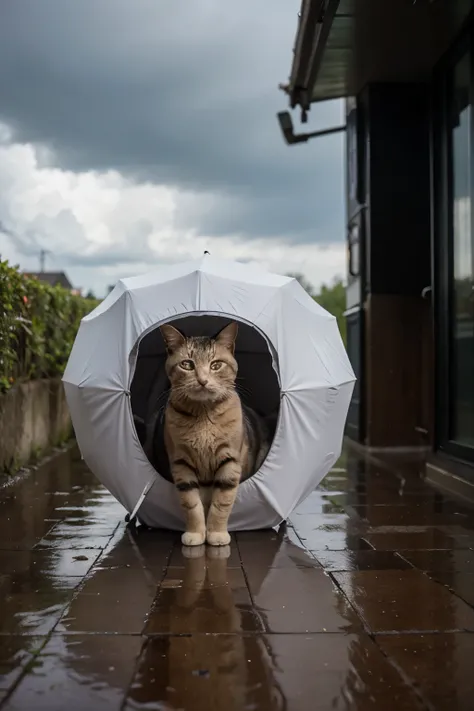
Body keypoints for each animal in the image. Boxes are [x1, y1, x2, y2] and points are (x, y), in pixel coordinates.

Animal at [159, 326, 272, 548]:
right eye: (187, 364)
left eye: (216, 365)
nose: (203, 380)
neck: (203, 415)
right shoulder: (181, 464)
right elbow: (191, 503)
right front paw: (195, 533)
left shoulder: (229, 461)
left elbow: (222, 503)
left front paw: (216, 533)